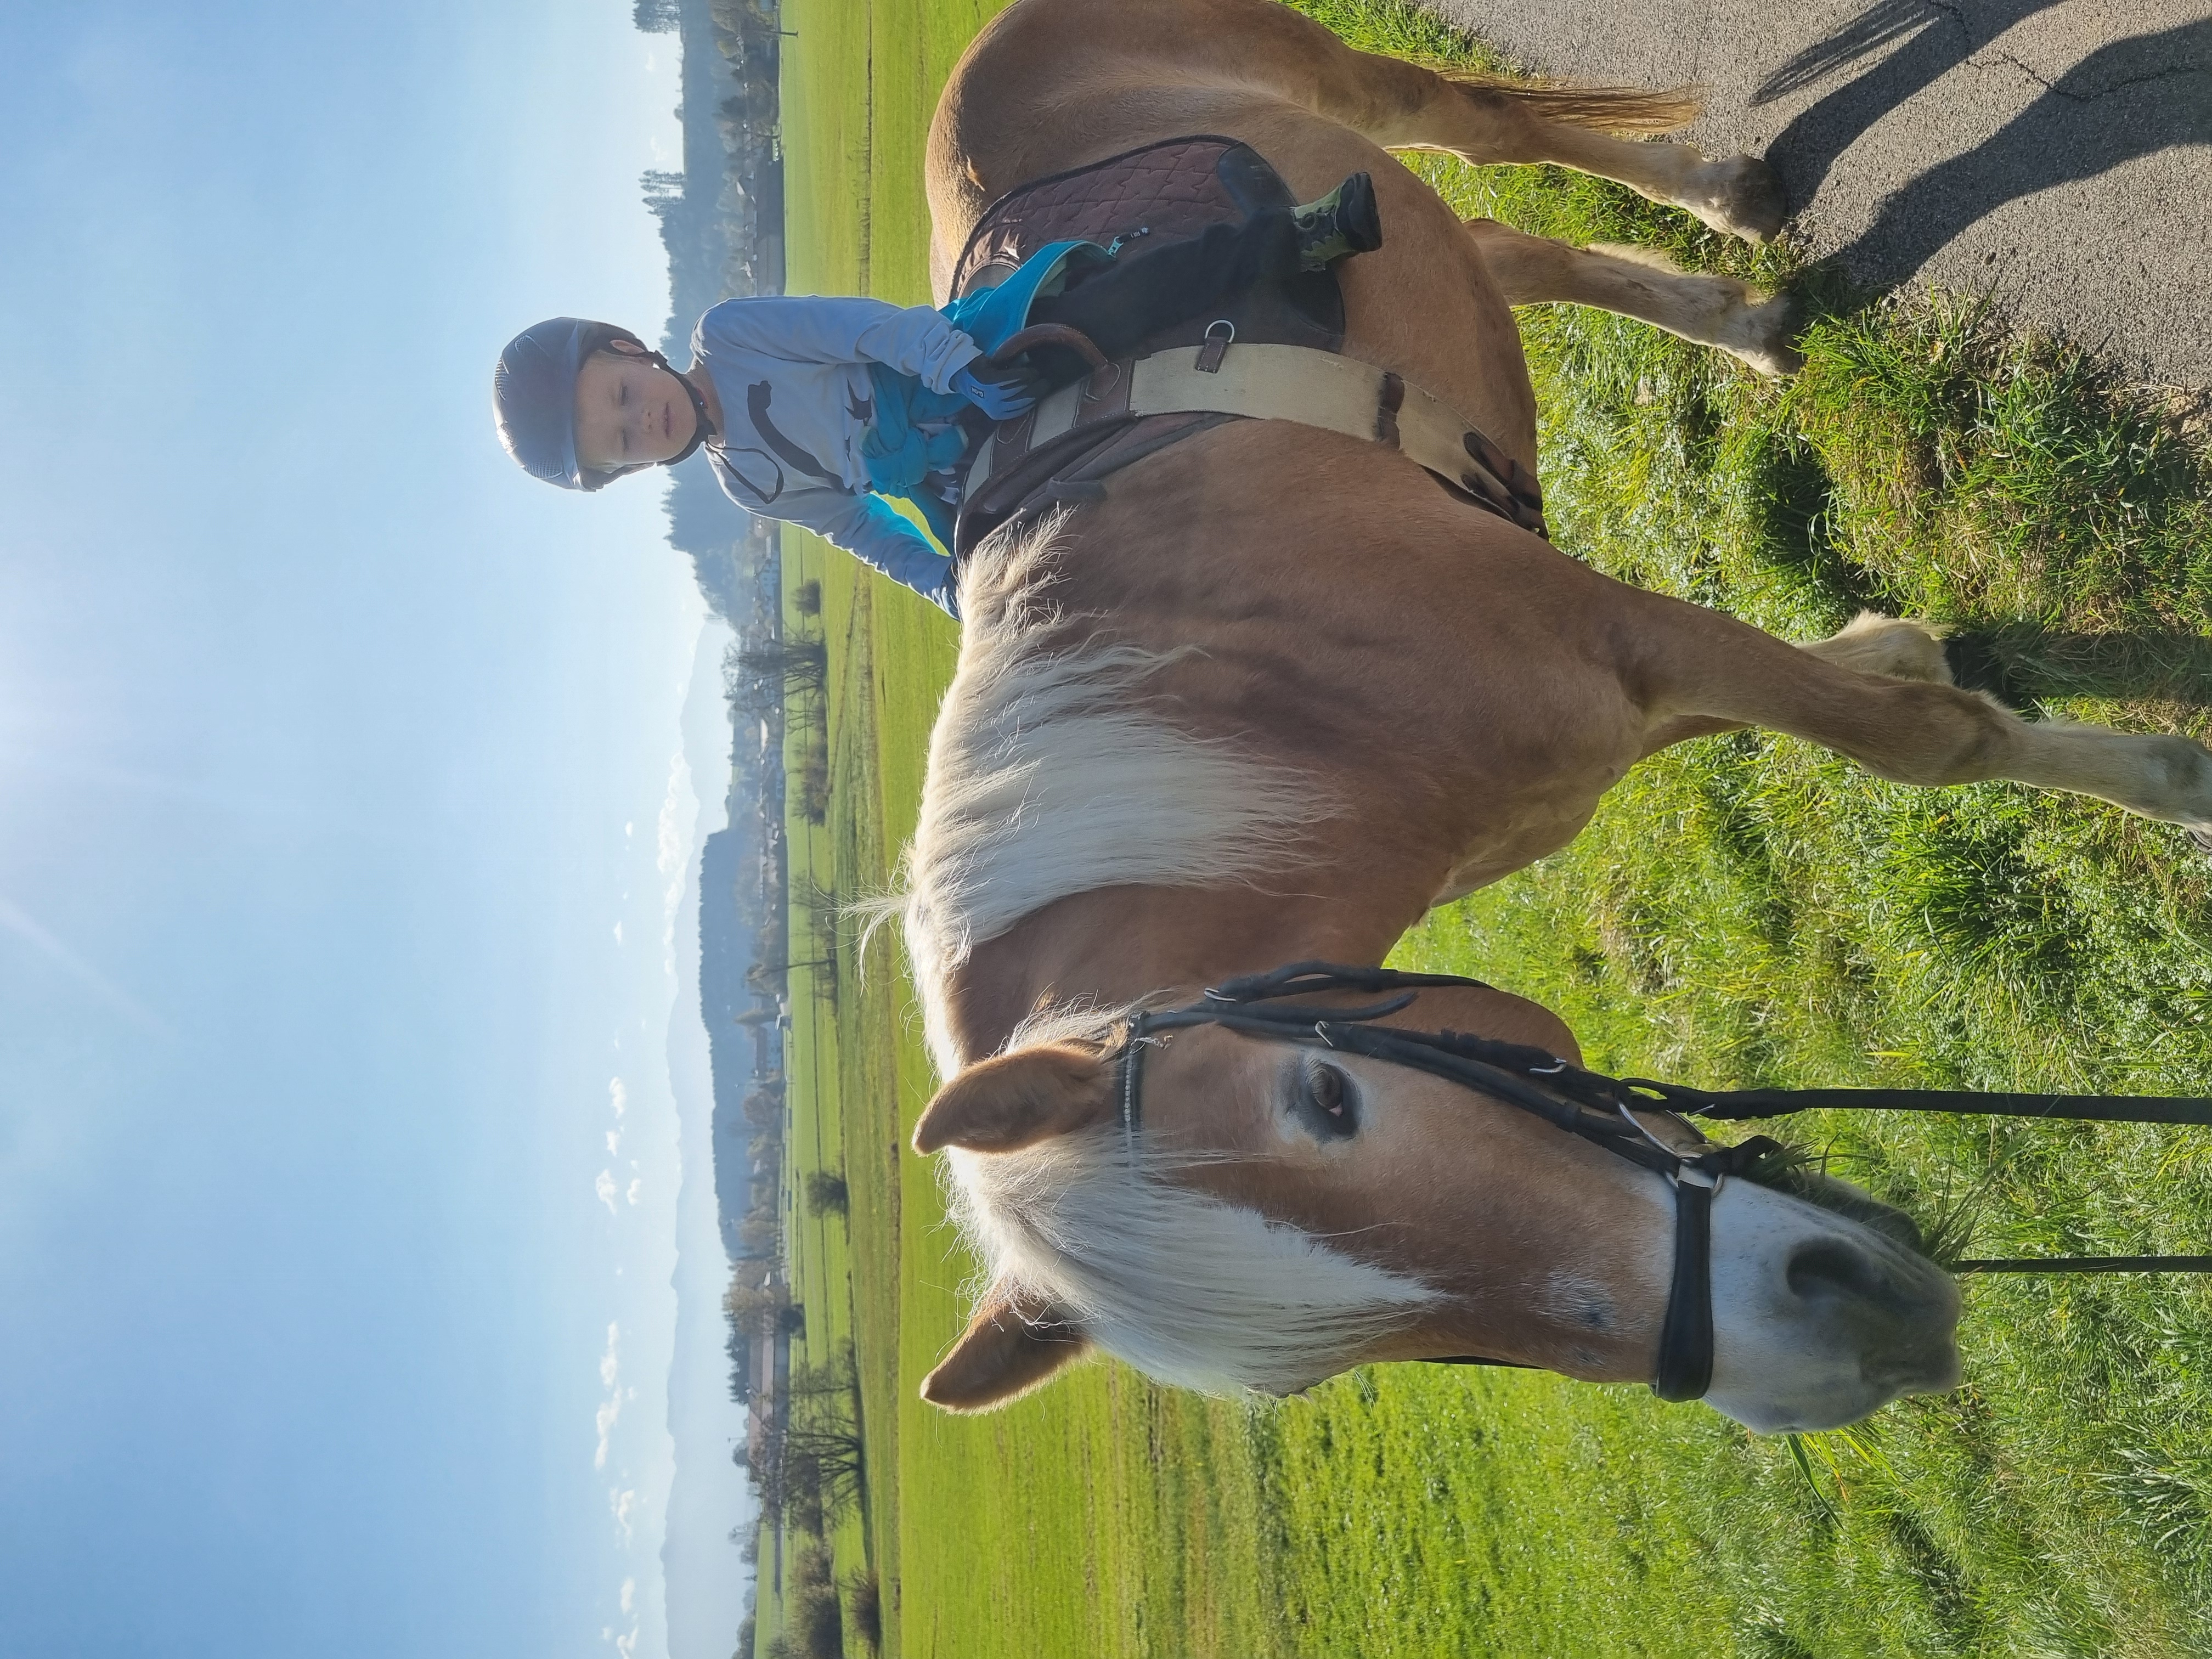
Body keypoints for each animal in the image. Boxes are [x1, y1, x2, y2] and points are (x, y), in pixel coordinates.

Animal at [890, 0, 2212, 1433]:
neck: (1254, 740)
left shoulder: (1622, 644)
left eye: (1331, 1098)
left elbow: (1923, 745)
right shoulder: (1607, 710)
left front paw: (2166, 780)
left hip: (1369, 95)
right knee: (1508, 247)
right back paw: (1735, 312)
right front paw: (1902, 645)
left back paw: (1726, 202)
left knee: (1493, 133)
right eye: (1327, 1362)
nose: (1851, 1343)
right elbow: (1851, 703)